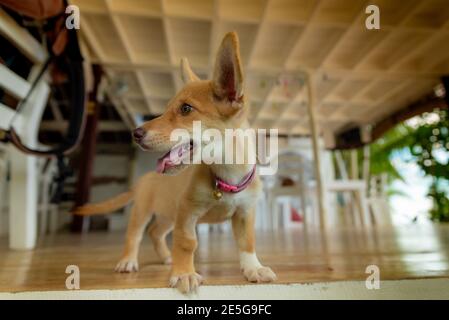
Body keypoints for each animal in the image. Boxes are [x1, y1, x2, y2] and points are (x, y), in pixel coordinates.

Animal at [74, 31, 276, 292]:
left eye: (186, 108)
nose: (135, 133)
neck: (225, 174)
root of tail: (145, 179)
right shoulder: (187, 213)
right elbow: (186, 243)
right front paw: (184, 273)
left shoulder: (244, 213)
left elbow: (247, 242)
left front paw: (253, 267)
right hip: (144, 212)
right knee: (135, 235)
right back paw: (128, 260)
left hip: (168, 215)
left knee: (155, 233)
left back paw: (166, 257)